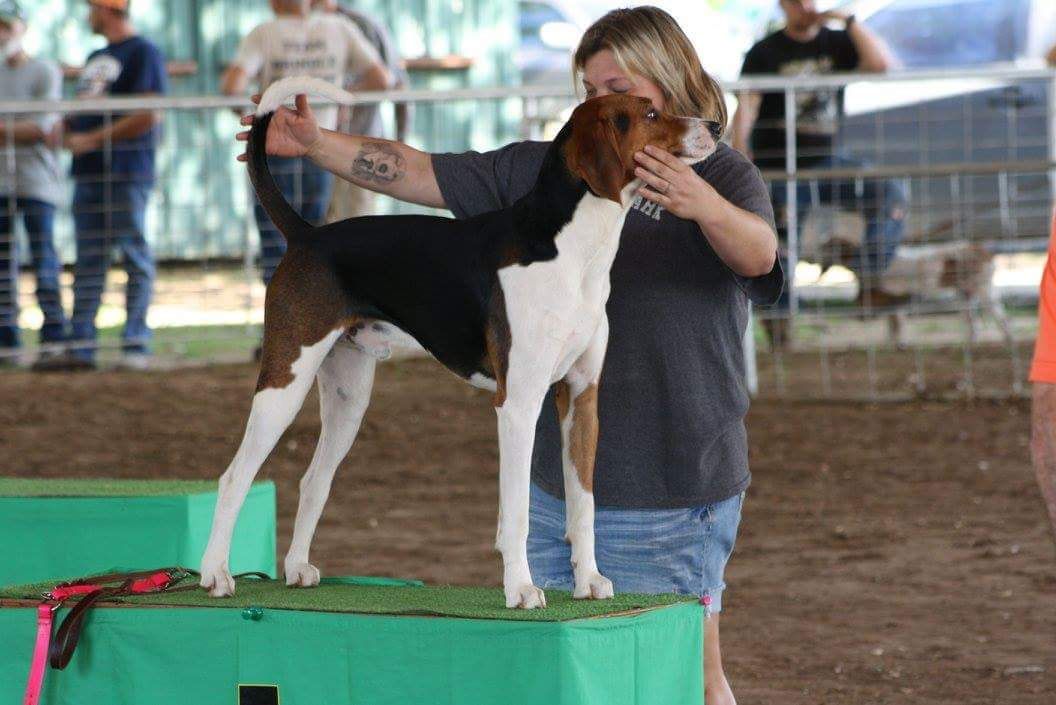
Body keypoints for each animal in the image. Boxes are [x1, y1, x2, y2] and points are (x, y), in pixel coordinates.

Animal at [198, 75, 718, 607]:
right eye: (650, 113)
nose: (715, 125)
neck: (571, 249)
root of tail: (307, 235)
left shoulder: (581, 396)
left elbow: (584, 505)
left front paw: (588, 580)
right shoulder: (518, 404)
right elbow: (518, 513)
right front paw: (521, 588)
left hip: (348, 398)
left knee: (313, 481)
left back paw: (297, 567)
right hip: (285, 382)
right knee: (234, 477)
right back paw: (215, 574)